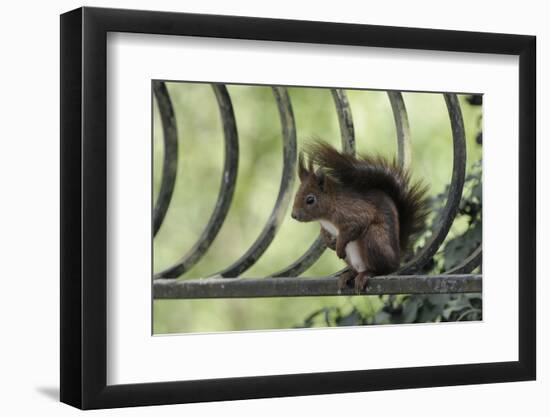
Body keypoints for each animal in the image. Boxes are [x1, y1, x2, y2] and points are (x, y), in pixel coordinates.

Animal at [292, 141, 430, 290]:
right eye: (296, 195)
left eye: (310, 200)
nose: (294, 215)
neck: (326, 216)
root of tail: (397, 257)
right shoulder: (326, 225)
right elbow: (323, 232)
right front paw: (329, 242)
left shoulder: (353, 212)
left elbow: (356, 225)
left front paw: (339, 247)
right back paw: (348, 275)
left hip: (374, 239)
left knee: (382, 269)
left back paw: (367, 274)